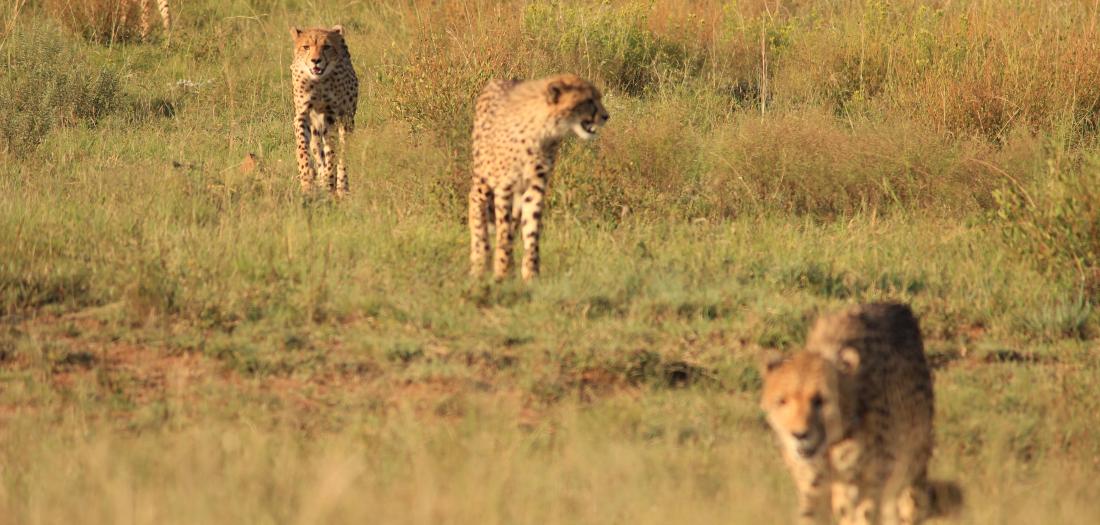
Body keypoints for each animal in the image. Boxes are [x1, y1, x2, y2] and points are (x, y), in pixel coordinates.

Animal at [290, 25, 358, 195]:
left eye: (326, 47)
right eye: (306, 47)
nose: (316, 60)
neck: (318, 82)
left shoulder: (331, 117)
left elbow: (332, 152)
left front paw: (329, 179)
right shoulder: (302, 115)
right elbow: (303, 148)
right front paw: (307, 178)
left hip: (346, 121)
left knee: (342, 154)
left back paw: (340, 187)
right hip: (316, 129)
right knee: (317, 150)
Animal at [466, 72, 611, 281]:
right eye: (589, 100)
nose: (606, 116)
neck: (542, 129)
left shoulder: (534, 187)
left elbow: (531, 230)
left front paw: (530, 273)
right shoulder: (505, 187)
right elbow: (503, 231)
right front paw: (502, 271)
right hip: (483, 177)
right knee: (477, 205)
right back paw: (480, 260)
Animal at [756, 303, 963, 523]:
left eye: (820, 400)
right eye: (782, 401)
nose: (799, 434)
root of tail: (895, 305)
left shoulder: (871, 480)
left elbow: (864, 513)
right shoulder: (813, 487)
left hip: (912, 457)